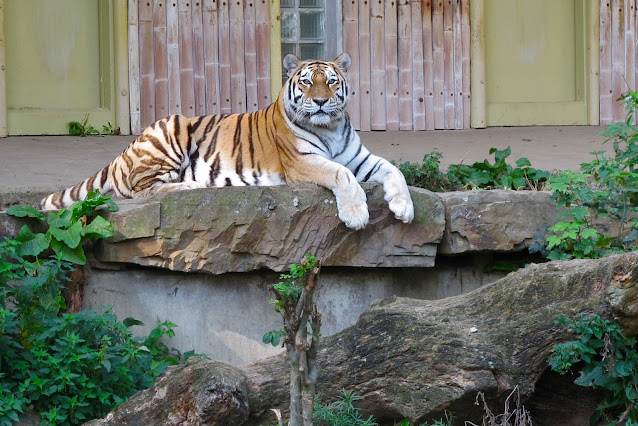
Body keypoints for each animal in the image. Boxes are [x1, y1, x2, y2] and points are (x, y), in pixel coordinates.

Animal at [42, 54, 418, 231]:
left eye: (331, 81)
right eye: (307, 82)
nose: (323, 102)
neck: (331, 126)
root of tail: (123, 152)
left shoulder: (359, 158)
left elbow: (394, 170)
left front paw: (404, 207)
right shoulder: (302, 162)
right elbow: (343, 175)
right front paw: (356, 215)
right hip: (171, 129)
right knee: (138, 191)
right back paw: (191, 186)